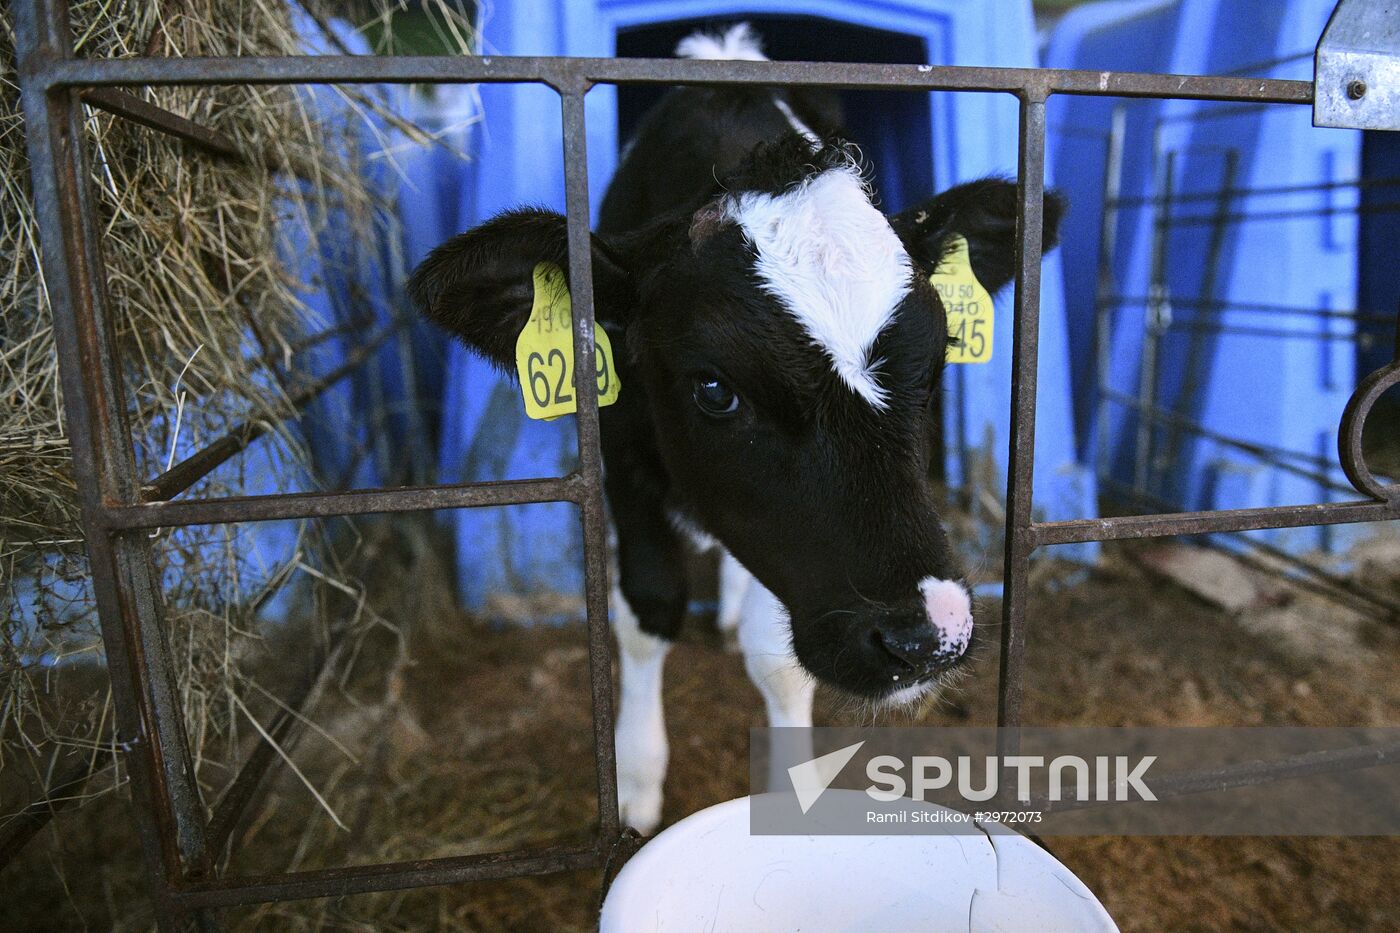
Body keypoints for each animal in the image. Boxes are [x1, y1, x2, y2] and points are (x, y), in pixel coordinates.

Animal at [408, 21, 1064, 829]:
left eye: (935, 365)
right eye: (715, 389)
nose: (927, 637)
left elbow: (773, 655)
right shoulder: (620, 454)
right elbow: (648, 608)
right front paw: (636, 778)